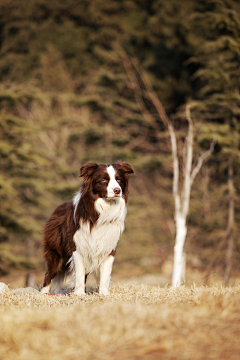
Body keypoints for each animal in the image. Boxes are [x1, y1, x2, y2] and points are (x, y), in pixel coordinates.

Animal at [42, 161, 134, 296]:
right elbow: (79, 273)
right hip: (56, 252)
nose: (117, 190)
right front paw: (79, 294)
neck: (102, 210)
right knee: (49, 273)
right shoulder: (78, 246)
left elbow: (105, 274)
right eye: (104, 180)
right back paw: (44, 293)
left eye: (119, 179)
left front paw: (104, 294)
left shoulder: (109, 247)